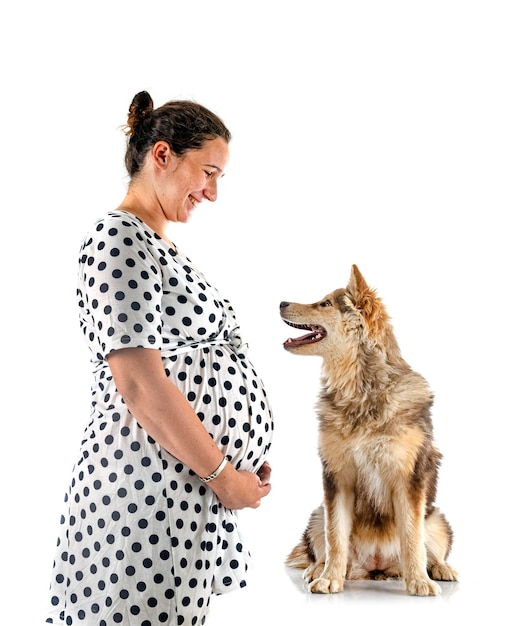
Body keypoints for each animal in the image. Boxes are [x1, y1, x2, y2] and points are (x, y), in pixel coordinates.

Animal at [280, 264, 460, 596]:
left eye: (325, 303)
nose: (281, 302)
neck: (361, 389)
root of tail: (377, 567)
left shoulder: (408, 479)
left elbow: (412, 536)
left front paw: (419, 581)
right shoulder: (337, 477)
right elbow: (336, 536)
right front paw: (329, 578)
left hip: (437, 518)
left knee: (432, 548)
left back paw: (440, 569)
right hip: (316, 514)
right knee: (321, 548)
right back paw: (317, 569)